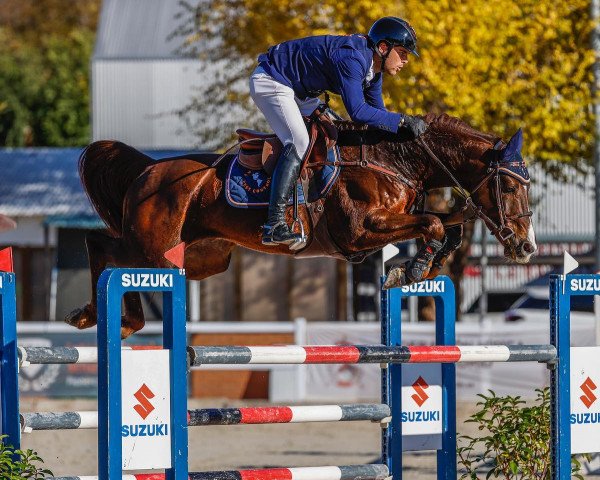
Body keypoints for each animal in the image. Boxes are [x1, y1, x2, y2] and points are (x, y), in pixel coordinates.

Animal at [68, 112, 536, 338]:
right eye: (511, 186)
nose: (527, 247)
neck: (392, 160)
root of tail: (149, 170)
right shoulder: (360, 231)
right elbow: (434, 225)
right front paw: (412, 269)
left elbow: (446, 227)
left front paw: (417, 269)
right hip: (153, 246)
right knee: (102, 247)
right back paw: (102, 317)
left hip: (201, 258)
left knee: (115, 256)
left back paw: (110, 319)